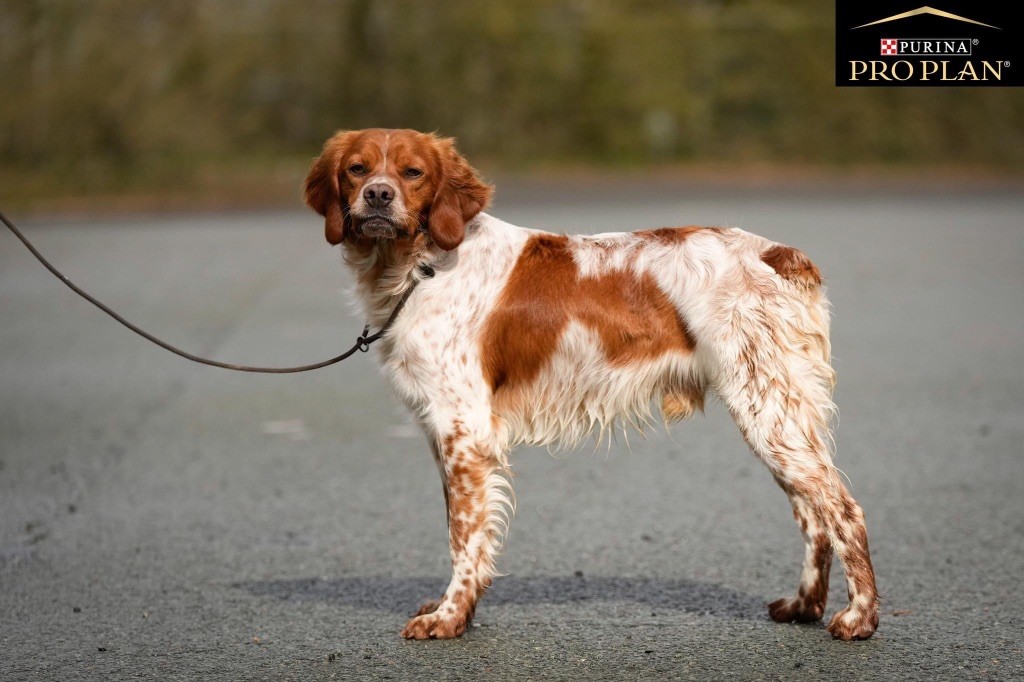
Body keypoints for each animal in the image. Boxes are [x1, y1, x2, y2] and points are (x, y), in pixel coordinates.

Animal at [303, 125, 880, 638]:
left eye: (413, 172)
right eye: (357, 169)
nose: (378, 196)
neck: (422, 264)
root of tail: (778, 254)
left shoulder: (463, 429)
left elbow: (464, 538)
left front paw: (449, 618)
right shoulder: (444, 431)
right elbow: (463, 530)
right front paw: (455, 609)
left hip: (768, 411)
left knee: (843, 509)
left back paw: (859, 618)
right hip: (780, 416)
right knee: (813, 514)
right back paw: (804, 606)